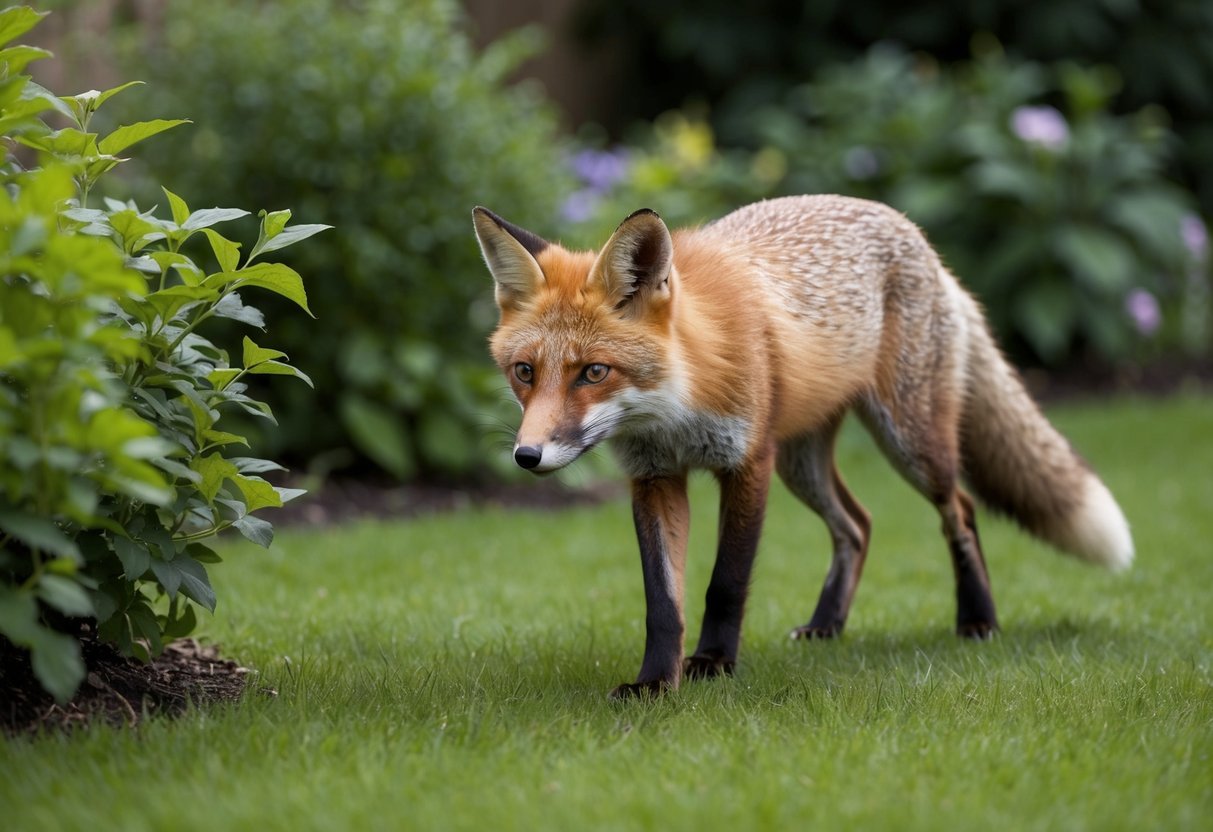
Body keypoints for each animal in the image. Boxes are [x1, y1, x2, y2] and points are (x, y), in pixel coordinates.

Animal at [472, 195, 1134, 699]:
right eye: (525, 372)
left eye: (593, 373)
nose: (526, 457)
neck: (676, 408)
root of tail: (916, 236)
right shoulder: (655, 478)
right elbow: (663, 603)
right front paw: (656, 684)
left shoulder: (747, 463)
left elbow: (725, 582)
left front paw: (713, 665)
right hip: (803, 462)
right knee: (858, 525)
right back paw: (826, 625)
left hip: (909, 444)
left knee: (961, 511)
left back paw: (977, 619)